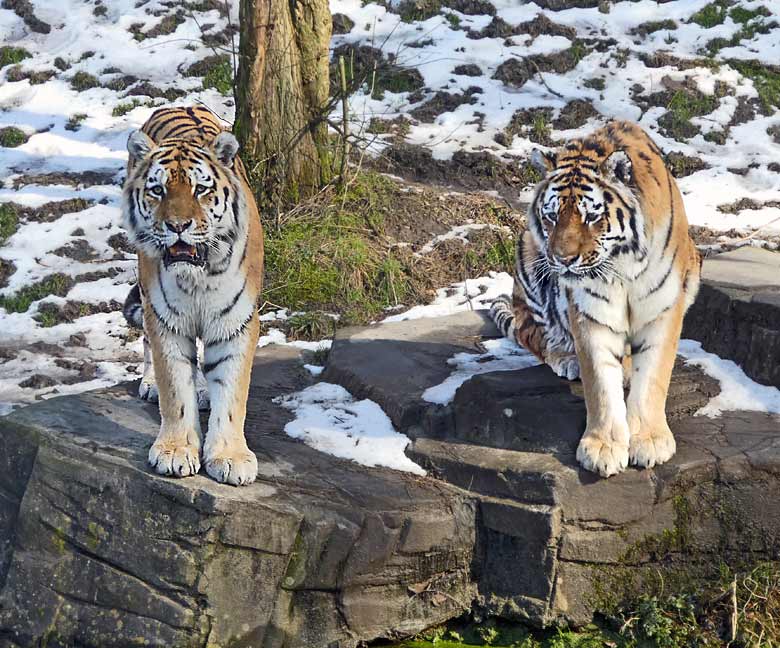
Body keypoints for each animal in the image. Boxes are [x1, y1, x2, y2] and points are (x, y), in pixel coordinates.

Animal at [120, 106, 264, 484]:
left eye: (201, 189)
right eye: (157, 190)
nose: (178, 226)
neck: (199, 276)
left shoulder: (236, 321)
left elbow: (232, 393)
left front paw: (230, 456)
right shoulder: (164, 319)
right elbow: (174, 389)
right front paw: (174, 451)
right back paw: (152, 383)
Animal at [488, 120, 700, 476]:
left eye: (591, 217)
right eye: (551, 216)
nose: (562, 259)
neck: (623, 265)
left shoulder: (663, 308)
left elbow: (652, 377)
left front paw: (649, 440)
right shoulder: (591, 313)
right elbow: (600, 382)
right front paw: (602, 447)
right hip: (528, 256)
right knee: (532, 334)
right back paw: (566, 357)